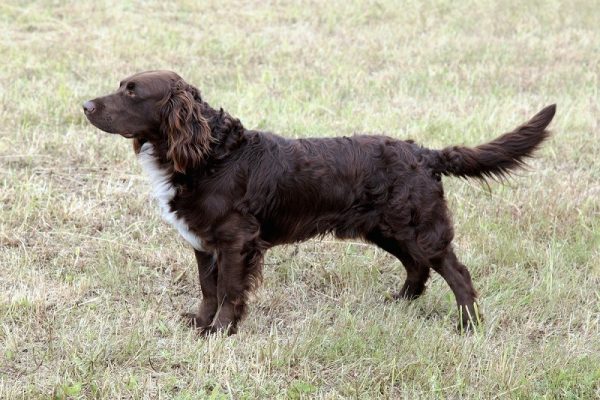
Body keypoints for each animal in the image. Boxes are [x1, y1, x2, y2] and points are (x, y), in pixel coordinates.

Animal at [82, 71, 556, 334]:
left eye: (132, 92)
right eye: (121, 85)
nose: (85, 104)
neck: (211, 154)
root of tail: (422, 153)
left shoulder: (236, 242)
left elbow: (230, 291)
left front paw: (220, 332)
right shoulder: (203, 242)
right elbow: (207, 288)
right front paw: (200, 323)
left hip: (418, 228)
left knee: (457, 274)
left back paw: (468, 326)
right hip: (386, 229)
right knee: (417, 268)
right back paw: (399, 302)